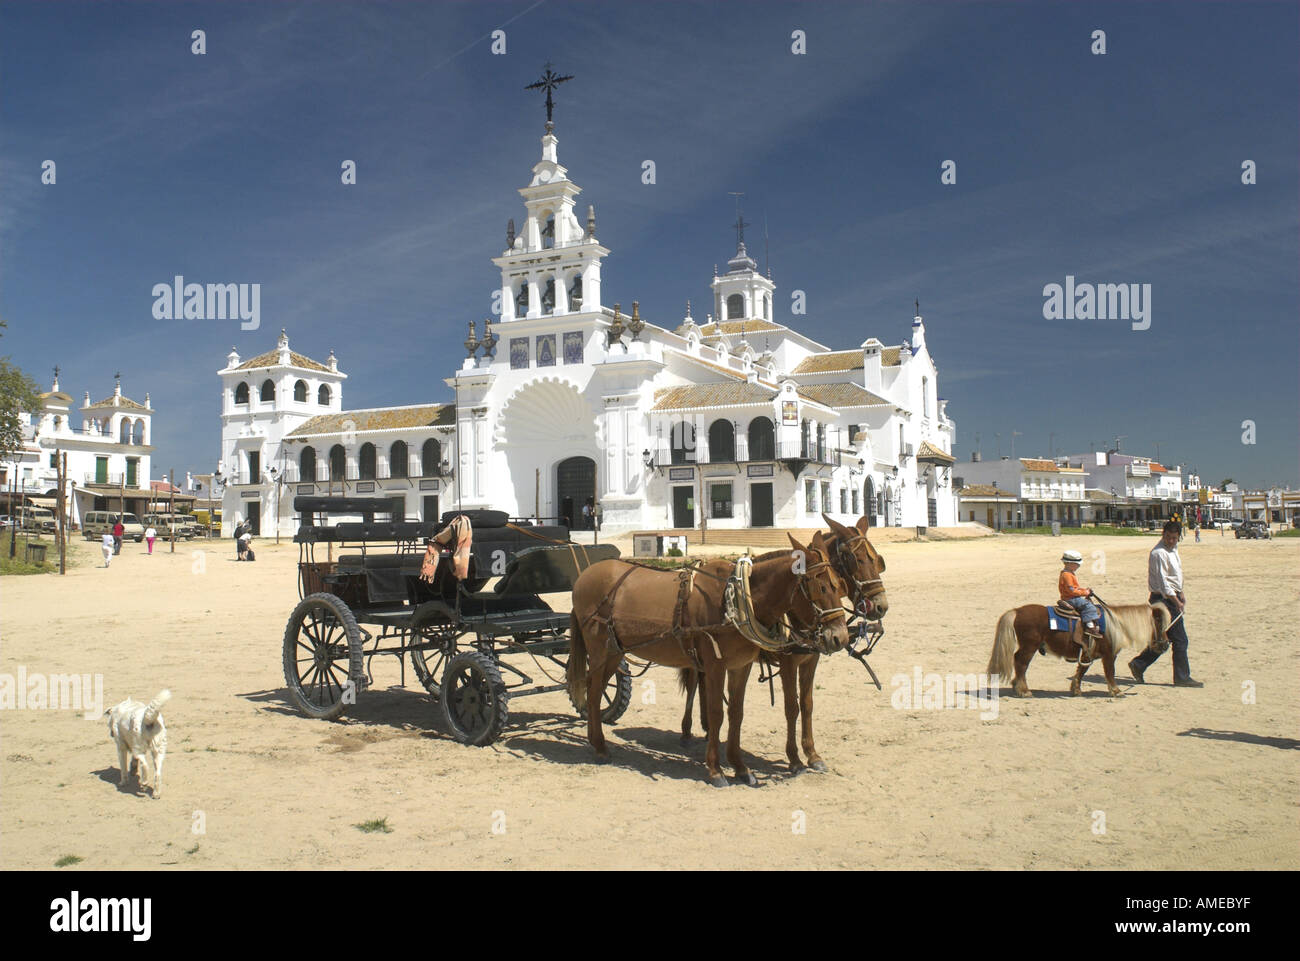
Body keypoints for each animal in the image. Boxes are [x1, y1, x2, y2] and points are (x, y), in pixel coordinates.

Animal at [569, 533, 852, 790]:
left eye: (840, 586)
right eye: (820, 587)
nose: (840, 637)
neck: (737, 600)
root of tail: (584, 576)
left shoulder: (741, 666)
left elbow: (737, 712)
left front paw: (740, 767)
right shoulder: (719, 665)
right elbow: (718, 713)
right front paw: (716, 770)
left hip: (615, 651)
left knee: (595, 690)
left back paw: (596, 742)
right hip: (599, 649)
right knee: (593, 690)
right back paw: (600, 746)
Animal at [676, 517, 889, 775]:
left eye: (876, 559)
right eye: (854, 559)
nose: (881, 605)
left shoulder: (811, 659)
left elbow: (807, 704)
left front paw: (812, 754)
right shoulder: (788, 662)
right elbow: (791, 707)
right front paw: (794, 759)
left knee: (703, 682)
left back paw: (706, 728)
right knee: (694, 683)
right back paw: (687, 730)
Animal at [982, 600, 1180, 697]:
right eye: (1160, 622)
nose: (1165, 645)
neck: (1116, 625)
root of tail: (1017, 611)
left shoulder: (1087, 654)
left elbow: (1081, 672)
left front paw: (1076, 690)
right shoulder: (1109, 655)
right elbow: (1110, 673)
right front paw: (1116, 691)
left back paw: (1017, 687)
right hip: (1029, 647)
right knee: (1021, 664)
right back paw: (1023, 690)